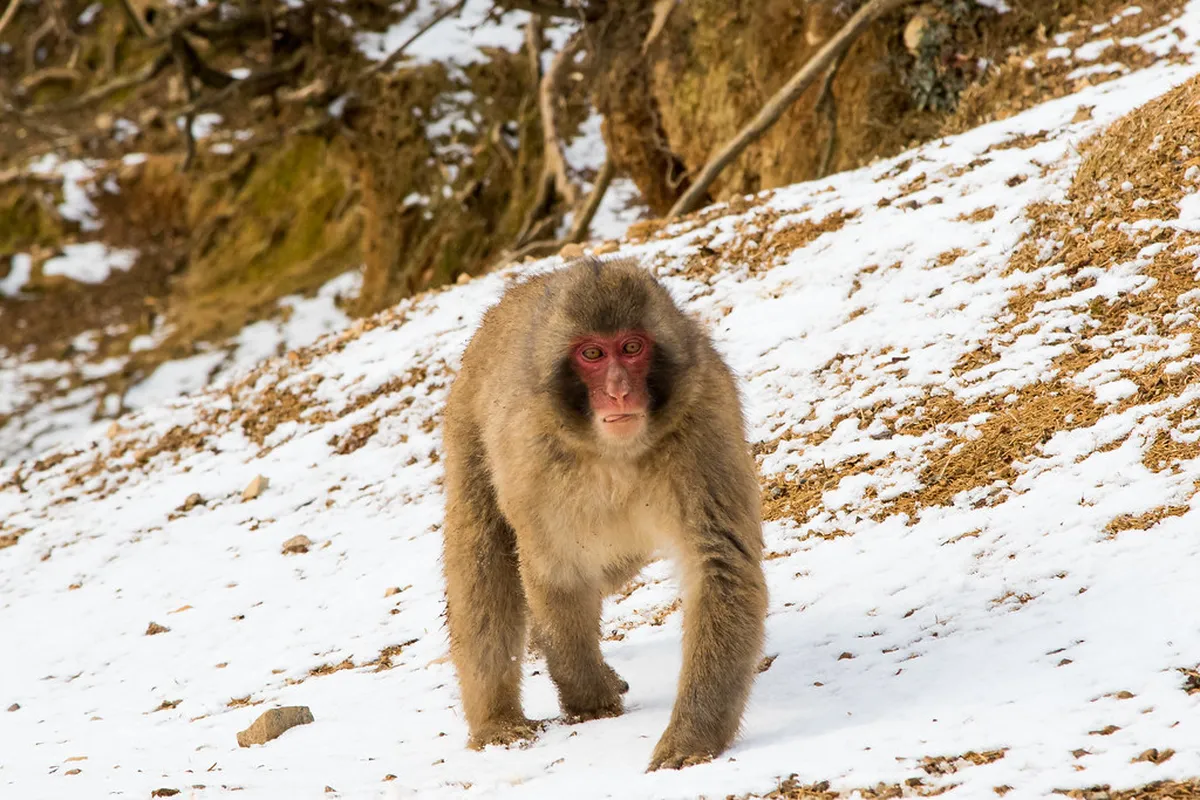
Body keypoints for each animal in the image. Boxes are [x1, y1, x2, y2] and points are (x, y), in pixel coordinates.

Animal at [440, 256, 767, 771]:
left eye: (631, 348)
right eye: (592, 354)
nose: (618, 391)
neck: (615, 452)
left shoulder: (704, 422)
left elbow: (720, 563)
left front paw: (692, 737)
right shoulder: (532, 456)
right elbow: (554, 570)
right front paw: (588, 697)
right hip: (466, 426)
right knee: (482, 551)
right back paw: (497, 721)